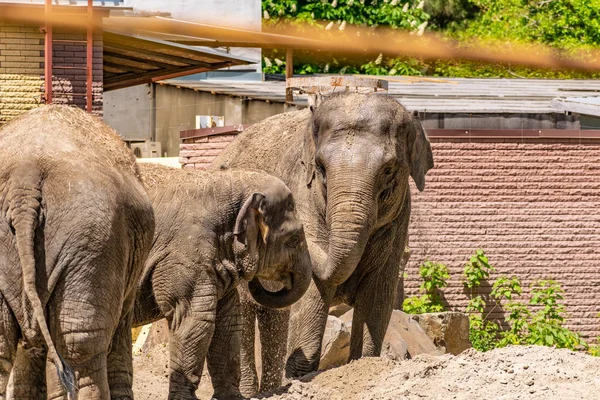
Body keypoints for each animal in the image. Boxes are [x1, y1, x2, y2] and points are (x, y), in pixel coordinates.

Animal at [134, 163, 312, 400]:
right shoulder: (186, 256)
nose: (254, 280)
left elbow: (228, 322)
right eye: (294, 239)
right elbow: (196, 320)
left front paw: (233, 397)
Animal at [213, 91, 434, 394]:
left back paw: (269, 389)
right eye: (320, 168)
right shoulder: (302, 194)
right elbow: (312, 294)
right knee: (246, 312)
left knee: (275, 314)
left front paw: (361, 366)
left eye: (389, 169)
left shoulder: (399, 219)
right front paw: (299, 377)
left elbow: (377, 294)